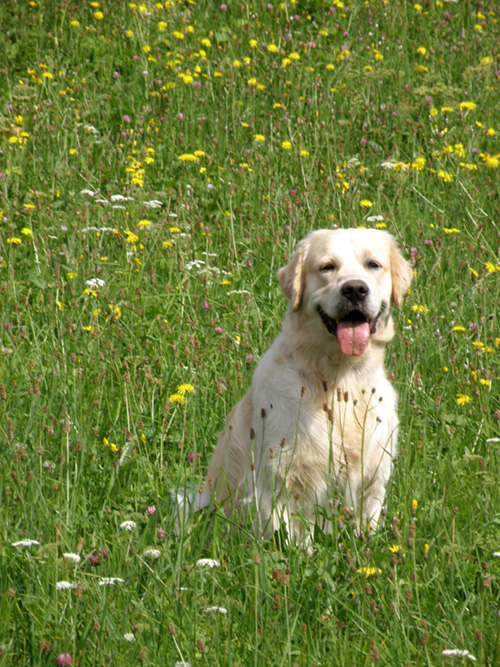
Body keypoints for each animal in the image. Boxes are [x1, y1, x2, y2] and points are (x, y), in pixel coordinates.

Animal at [193, 230, 412, 544]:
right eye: (327, 267)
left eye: (373, 264)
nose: (355, 290)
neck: (339, 379)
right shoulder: (280, 478)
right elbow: (290, 537)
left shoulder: (373, 477)